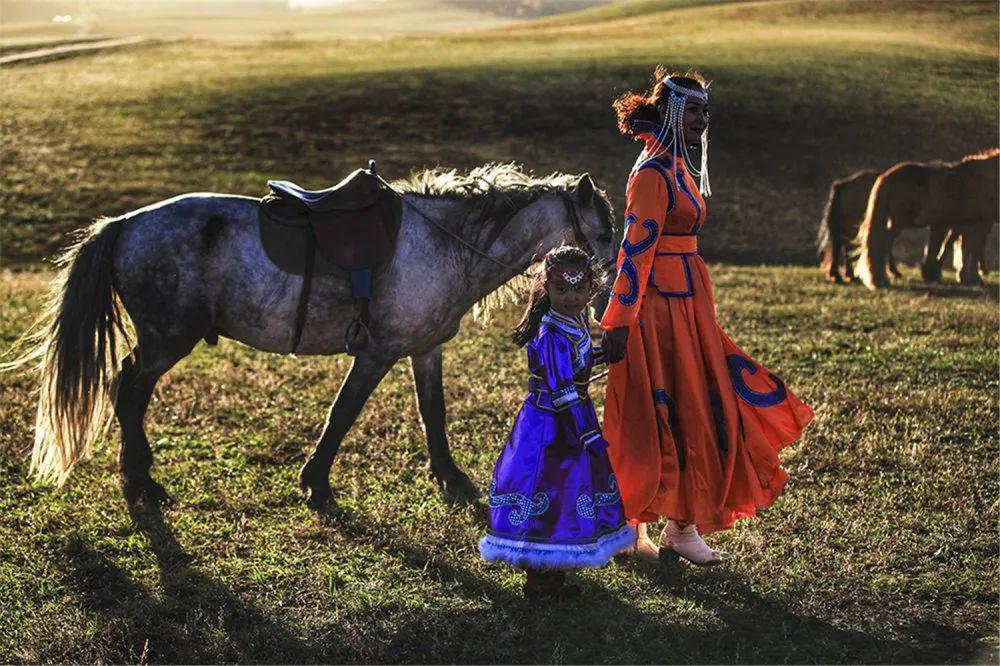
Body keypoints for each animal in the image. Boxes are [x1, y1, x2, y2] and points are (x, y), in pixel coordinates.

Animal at [17, 163, 616, 506]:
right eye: (606, 230)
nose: (605, 297)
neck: (444, 244)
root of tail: (123, 224)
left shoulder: (425, 348)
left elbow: (433, 412)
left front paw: (451, 478)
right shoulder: (377, 352)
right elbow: (343, 413)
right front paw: (316, 482)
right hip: (167, 341)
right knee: (128, 392)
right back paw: (141, 481)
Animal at [856, 149, 996, 290]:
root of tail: (886, 176)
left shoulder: (960, 224)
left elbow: (954, 245)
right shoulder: (974, 224)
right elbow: (967, 248)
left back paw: (890, 273)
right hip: (900, 221)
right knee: (883, 243)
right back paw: (881, 279)